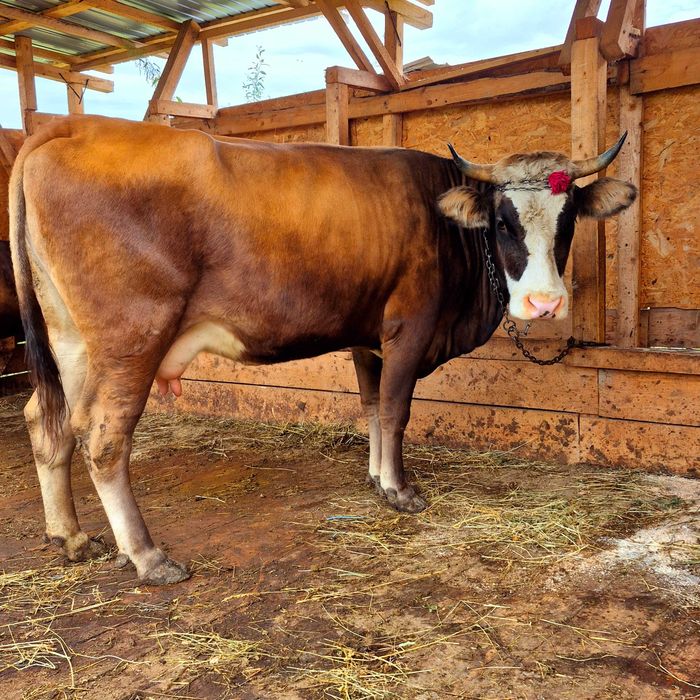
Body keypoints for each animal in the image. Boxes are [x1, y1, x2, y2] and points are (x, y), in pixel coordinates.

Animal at [10, 116, 635, 584]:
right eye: (503, 222)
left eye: (568, 220)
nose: (544, 303)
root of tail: (67, 128)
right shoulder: (409, 328)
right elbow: (395, 410)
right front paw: (400, 491)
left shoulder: (368, 336)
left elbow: (372, 408)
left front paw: (376, 477)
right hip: (131, 338)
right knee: (103, 435)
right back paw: (146, 555)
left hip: (71, 340)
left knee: (49, 421)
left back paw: (70, 535)